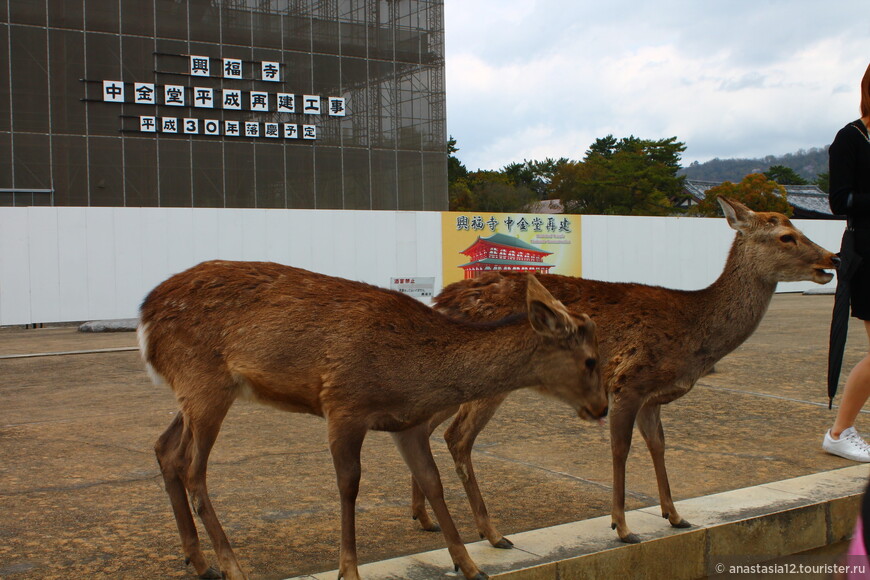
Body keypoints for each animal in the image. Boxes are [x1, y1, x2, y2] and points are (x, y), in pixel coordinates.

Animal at [140, 260, 608, 580]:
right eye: (590, 360)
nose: (603, 407)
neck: (416, 373)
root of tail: (146, 316)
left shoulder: (409, 425)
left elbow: (433, 482)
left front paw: (470, 564)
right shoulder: (343, 405)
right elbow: (349, 485)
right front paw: (349, 569)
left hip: (195, 390)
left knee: (166, 449)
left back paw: (199, 561)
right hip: (204, 382)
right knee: (194, 469)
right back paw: (231, 565)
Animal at [412, 197, 840, 548]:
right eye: (786, 236)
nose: (833, 259)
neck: (694, 332)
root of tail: (442, 300)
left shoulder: (653, 396)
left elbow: (658, 444)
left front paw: (675, 515)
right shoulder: (628, 380)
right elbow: (621, 448)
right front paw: (622, 527)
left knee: (426, 427)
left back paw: (424, 517)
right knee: (457, 437)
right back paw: (492, 532)